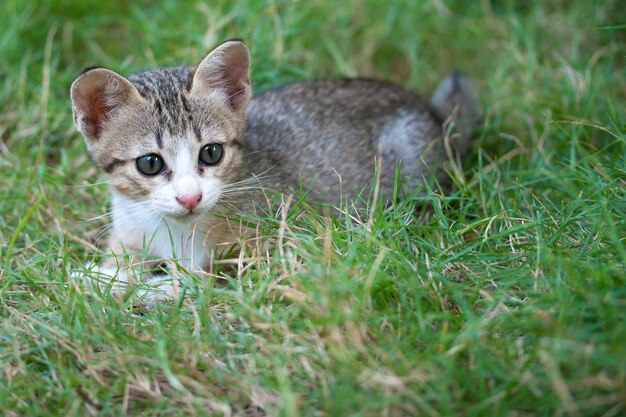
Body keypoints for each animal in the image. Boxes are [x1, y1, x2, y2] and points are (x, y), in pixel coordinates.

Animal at [70, 39, 482, 300]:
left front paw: (117, 284)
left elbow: (191, 284)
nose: (190, 198)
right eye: (150, 163)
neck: (168, 228)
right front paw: (100, 274)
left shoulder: (268, 251)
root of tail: (434, 114)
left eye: (211, 153)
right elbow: (122, 260)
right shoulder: (126, 228)